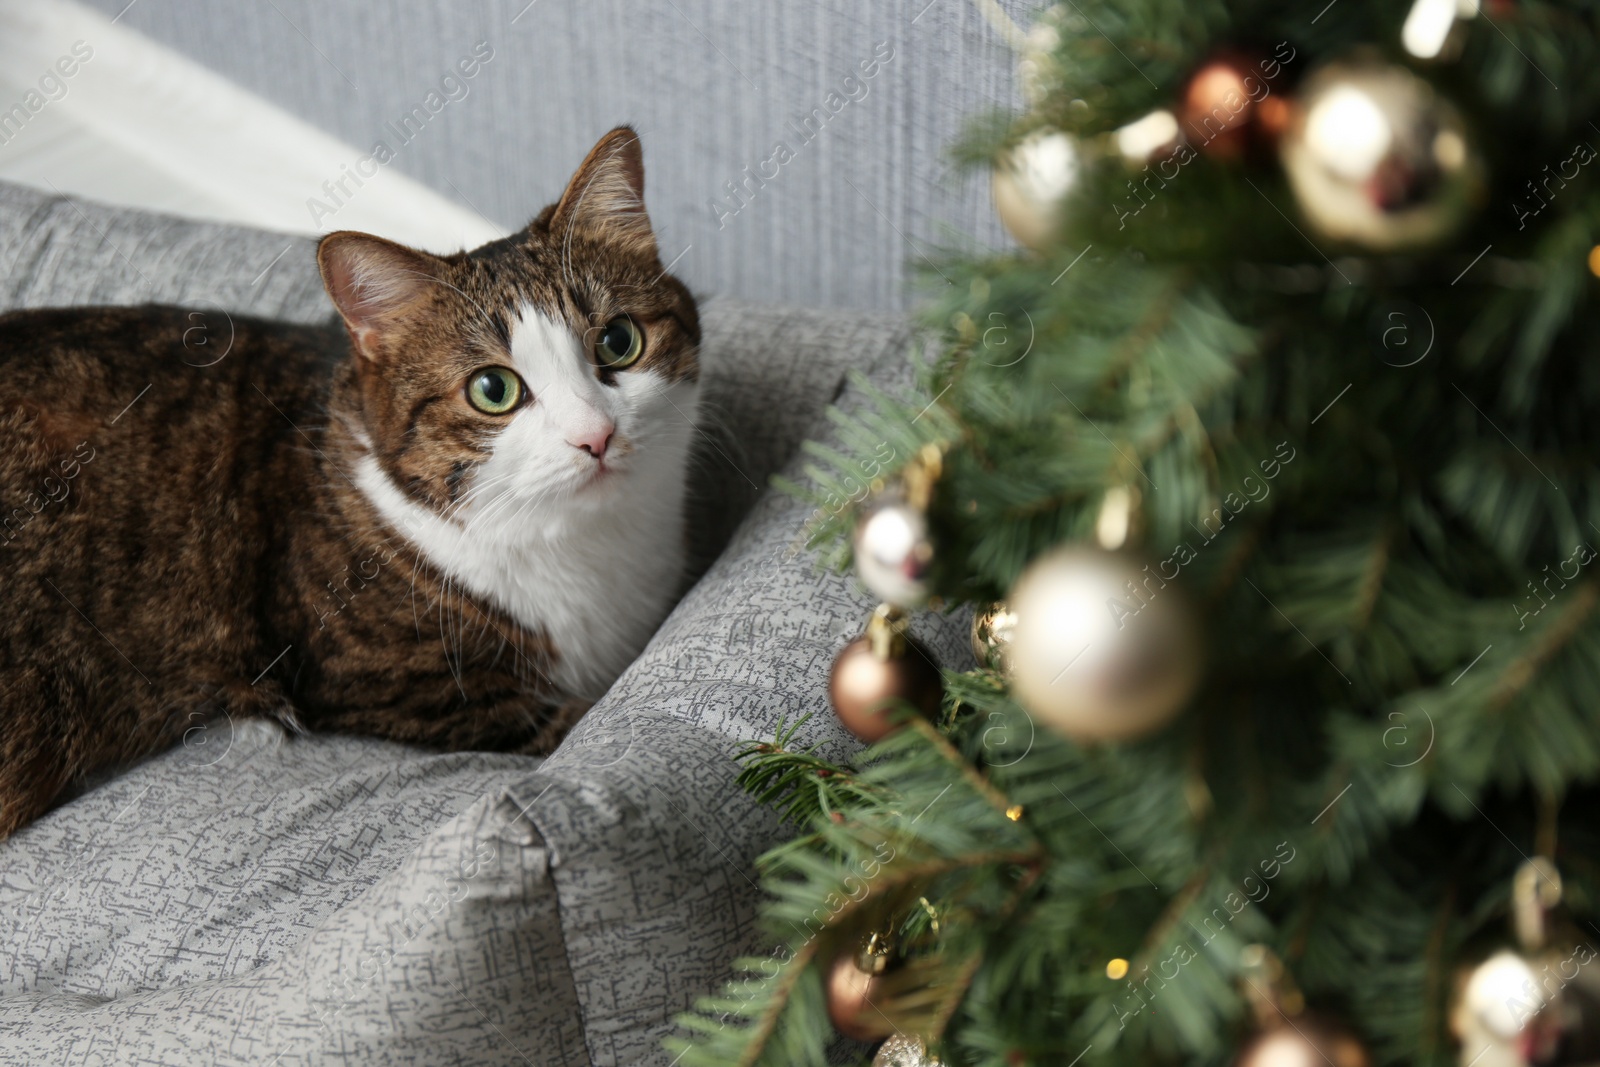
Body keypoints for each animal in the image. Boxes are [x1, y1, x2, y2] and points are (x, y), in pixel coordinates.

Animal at [0, 127, 700, 844]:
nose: (595, 435)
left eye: (618, 341)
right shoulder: (398, 686)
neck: (583, 541)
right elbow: (557, 720)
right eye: (493, 389)